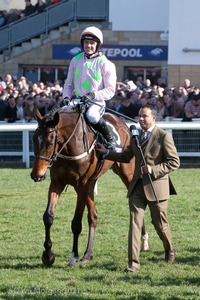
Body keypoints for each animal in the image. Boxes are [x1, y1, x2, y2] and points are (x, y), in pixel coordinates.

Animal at [30, 103, 148, 268]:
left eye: (50, 141)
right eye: (34, 138)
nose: (37, 175)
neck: (71, 145)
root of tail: (123, 124)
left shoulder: (82, 185)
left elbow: (76, 223)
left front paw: (73, 257)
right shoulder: (57, 183)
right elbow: (48, 217)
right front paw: (48, 255)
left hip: (127, 173)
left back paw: (144, 241)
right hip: (92, 183)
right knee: (93, 216)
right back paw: (88, 254)